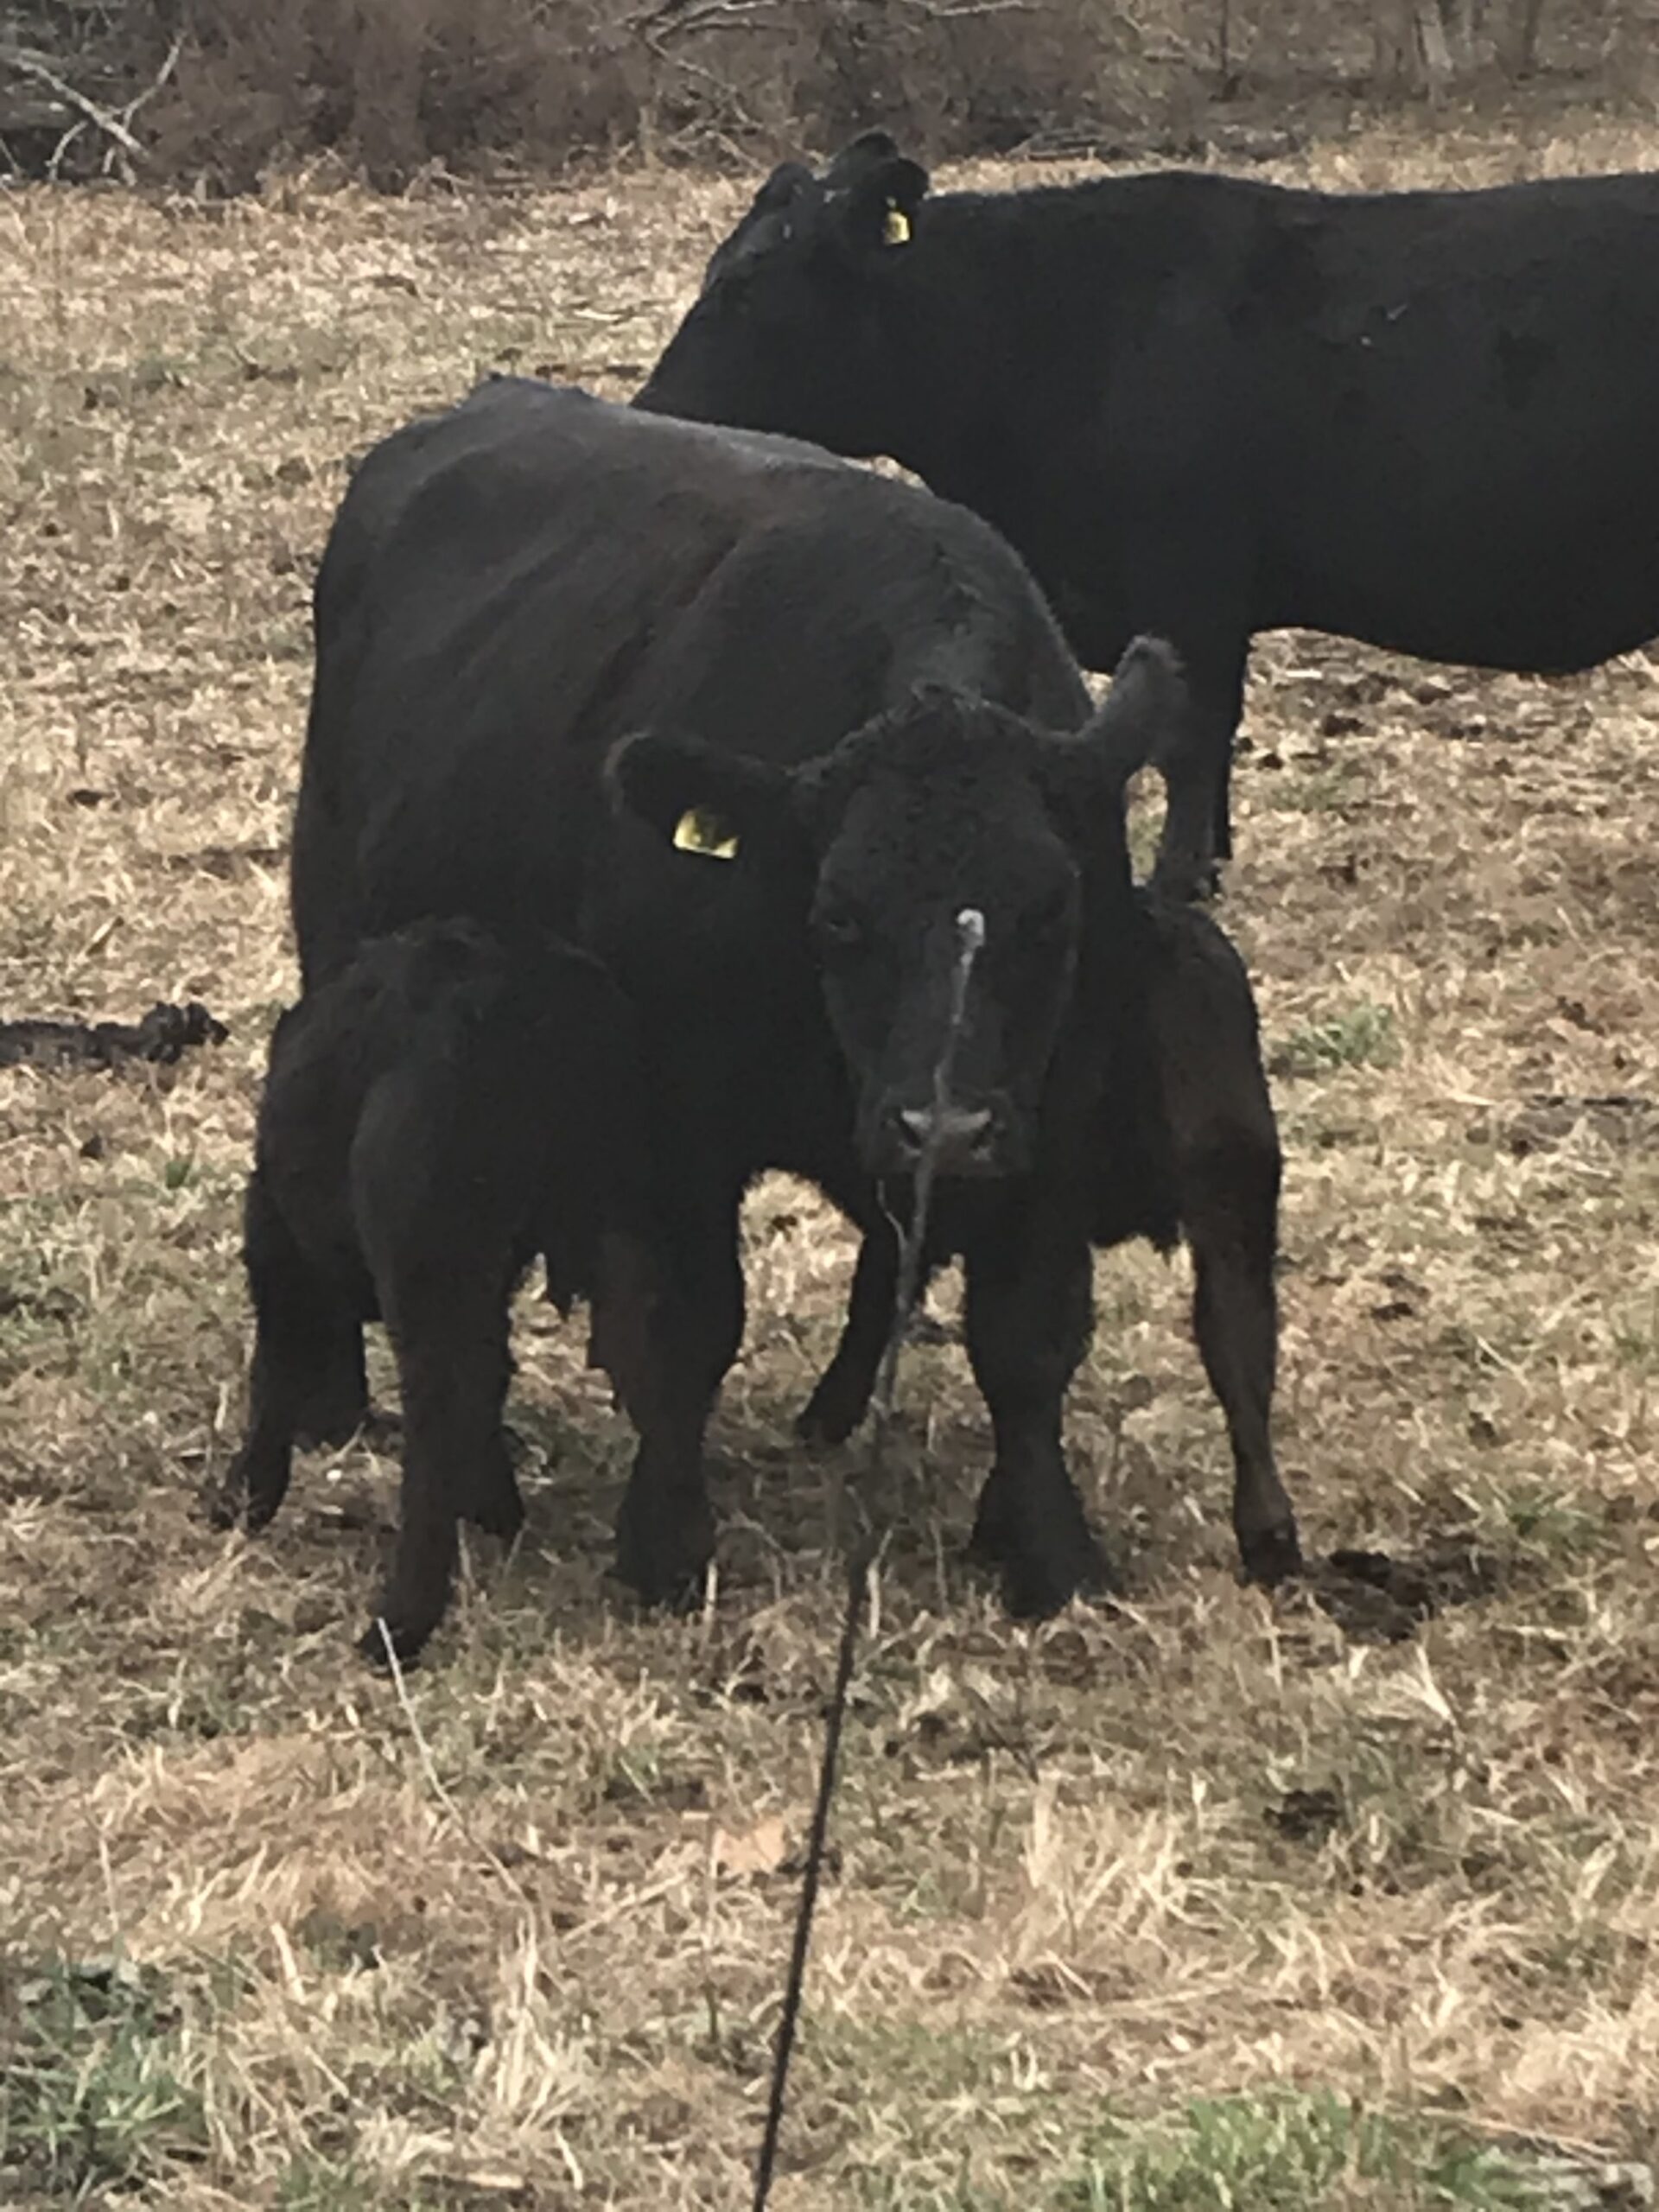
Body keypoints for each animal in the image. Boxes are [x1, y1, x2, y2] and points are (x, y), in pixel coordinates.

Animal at [210, 916, 658, 1662]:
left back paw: (399, 1624)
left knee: (442, 1401)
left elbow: (273, 1365)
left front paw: (242, 1499)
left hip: (422, 1248)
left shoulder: (274, 1230)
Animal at [288, 377, 1301, 1625]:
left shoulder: (1045, 1120)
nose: (941, 1129)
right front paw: (667, 1544)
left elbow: (1026, 1343)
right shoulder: (675, 1122)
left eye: (1052, 912)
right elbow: (686, 1327)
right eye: (838, 917)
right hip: (339, 950)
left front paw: (1053, 1551)